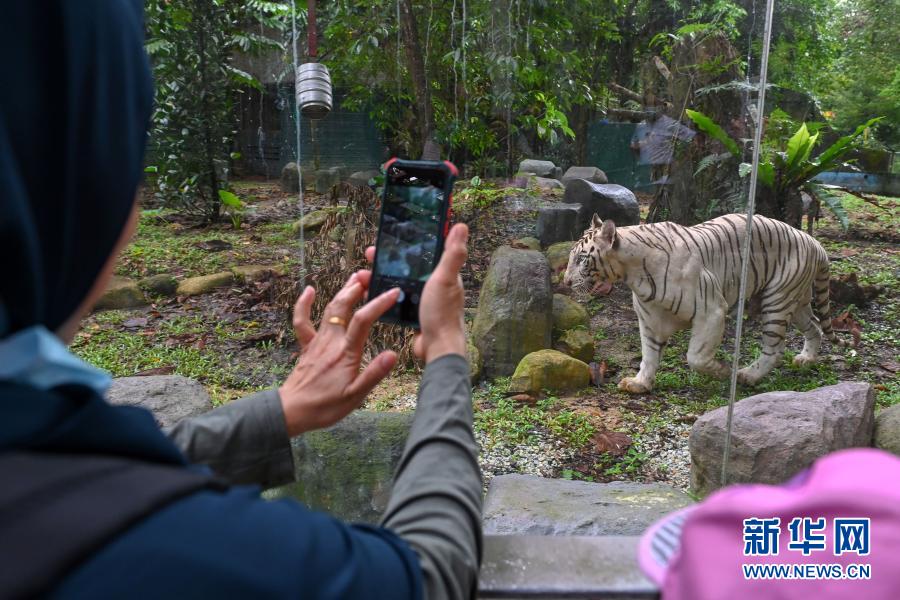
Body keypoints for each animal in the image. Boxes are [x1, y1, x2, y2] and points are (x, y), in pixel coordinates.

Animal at [564, 212, 844, 394]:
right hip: (795, 301)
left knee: (775, 348)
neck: (633, 273)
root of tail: (814, 242)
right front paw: (639, 383)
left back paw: (747, 375)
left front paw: (724, 371)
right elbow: (649, 354)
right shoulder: (650, 319)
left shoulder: (712, 311)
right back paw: (806, 359)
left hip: (777, 299)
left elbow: (695, 356)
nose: (565, 281)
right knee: (815, 326)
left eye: (581, 259)